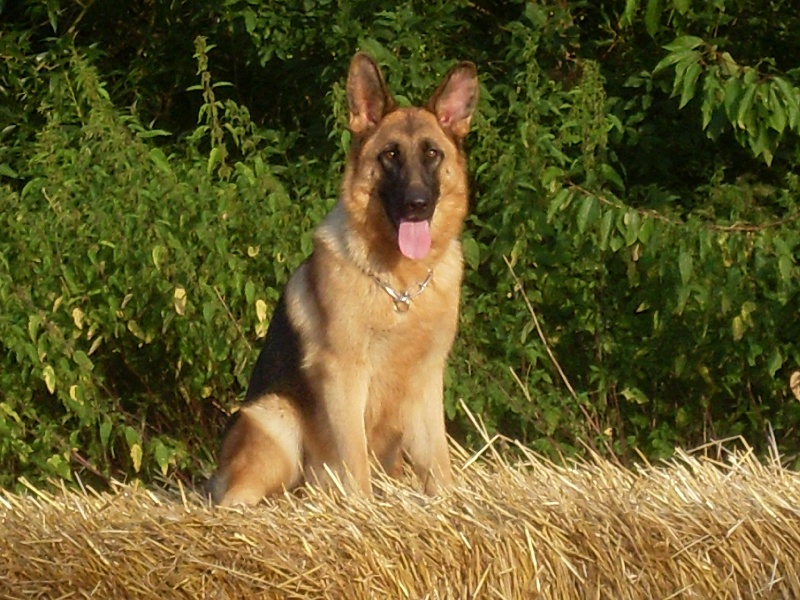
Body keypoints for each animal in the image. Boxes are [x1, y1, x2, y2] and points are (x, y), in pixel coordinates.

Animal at [209, 51, 478, 506]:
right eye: (390, 155)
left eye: (432, 154)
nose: (417, 204)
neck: (400, 288)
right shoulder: (345, 377)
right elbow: (355, 459)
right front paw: (365, 509)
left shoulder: (426, 382)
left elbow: (438, 463)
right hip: (276, 418)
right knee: (236, 498)